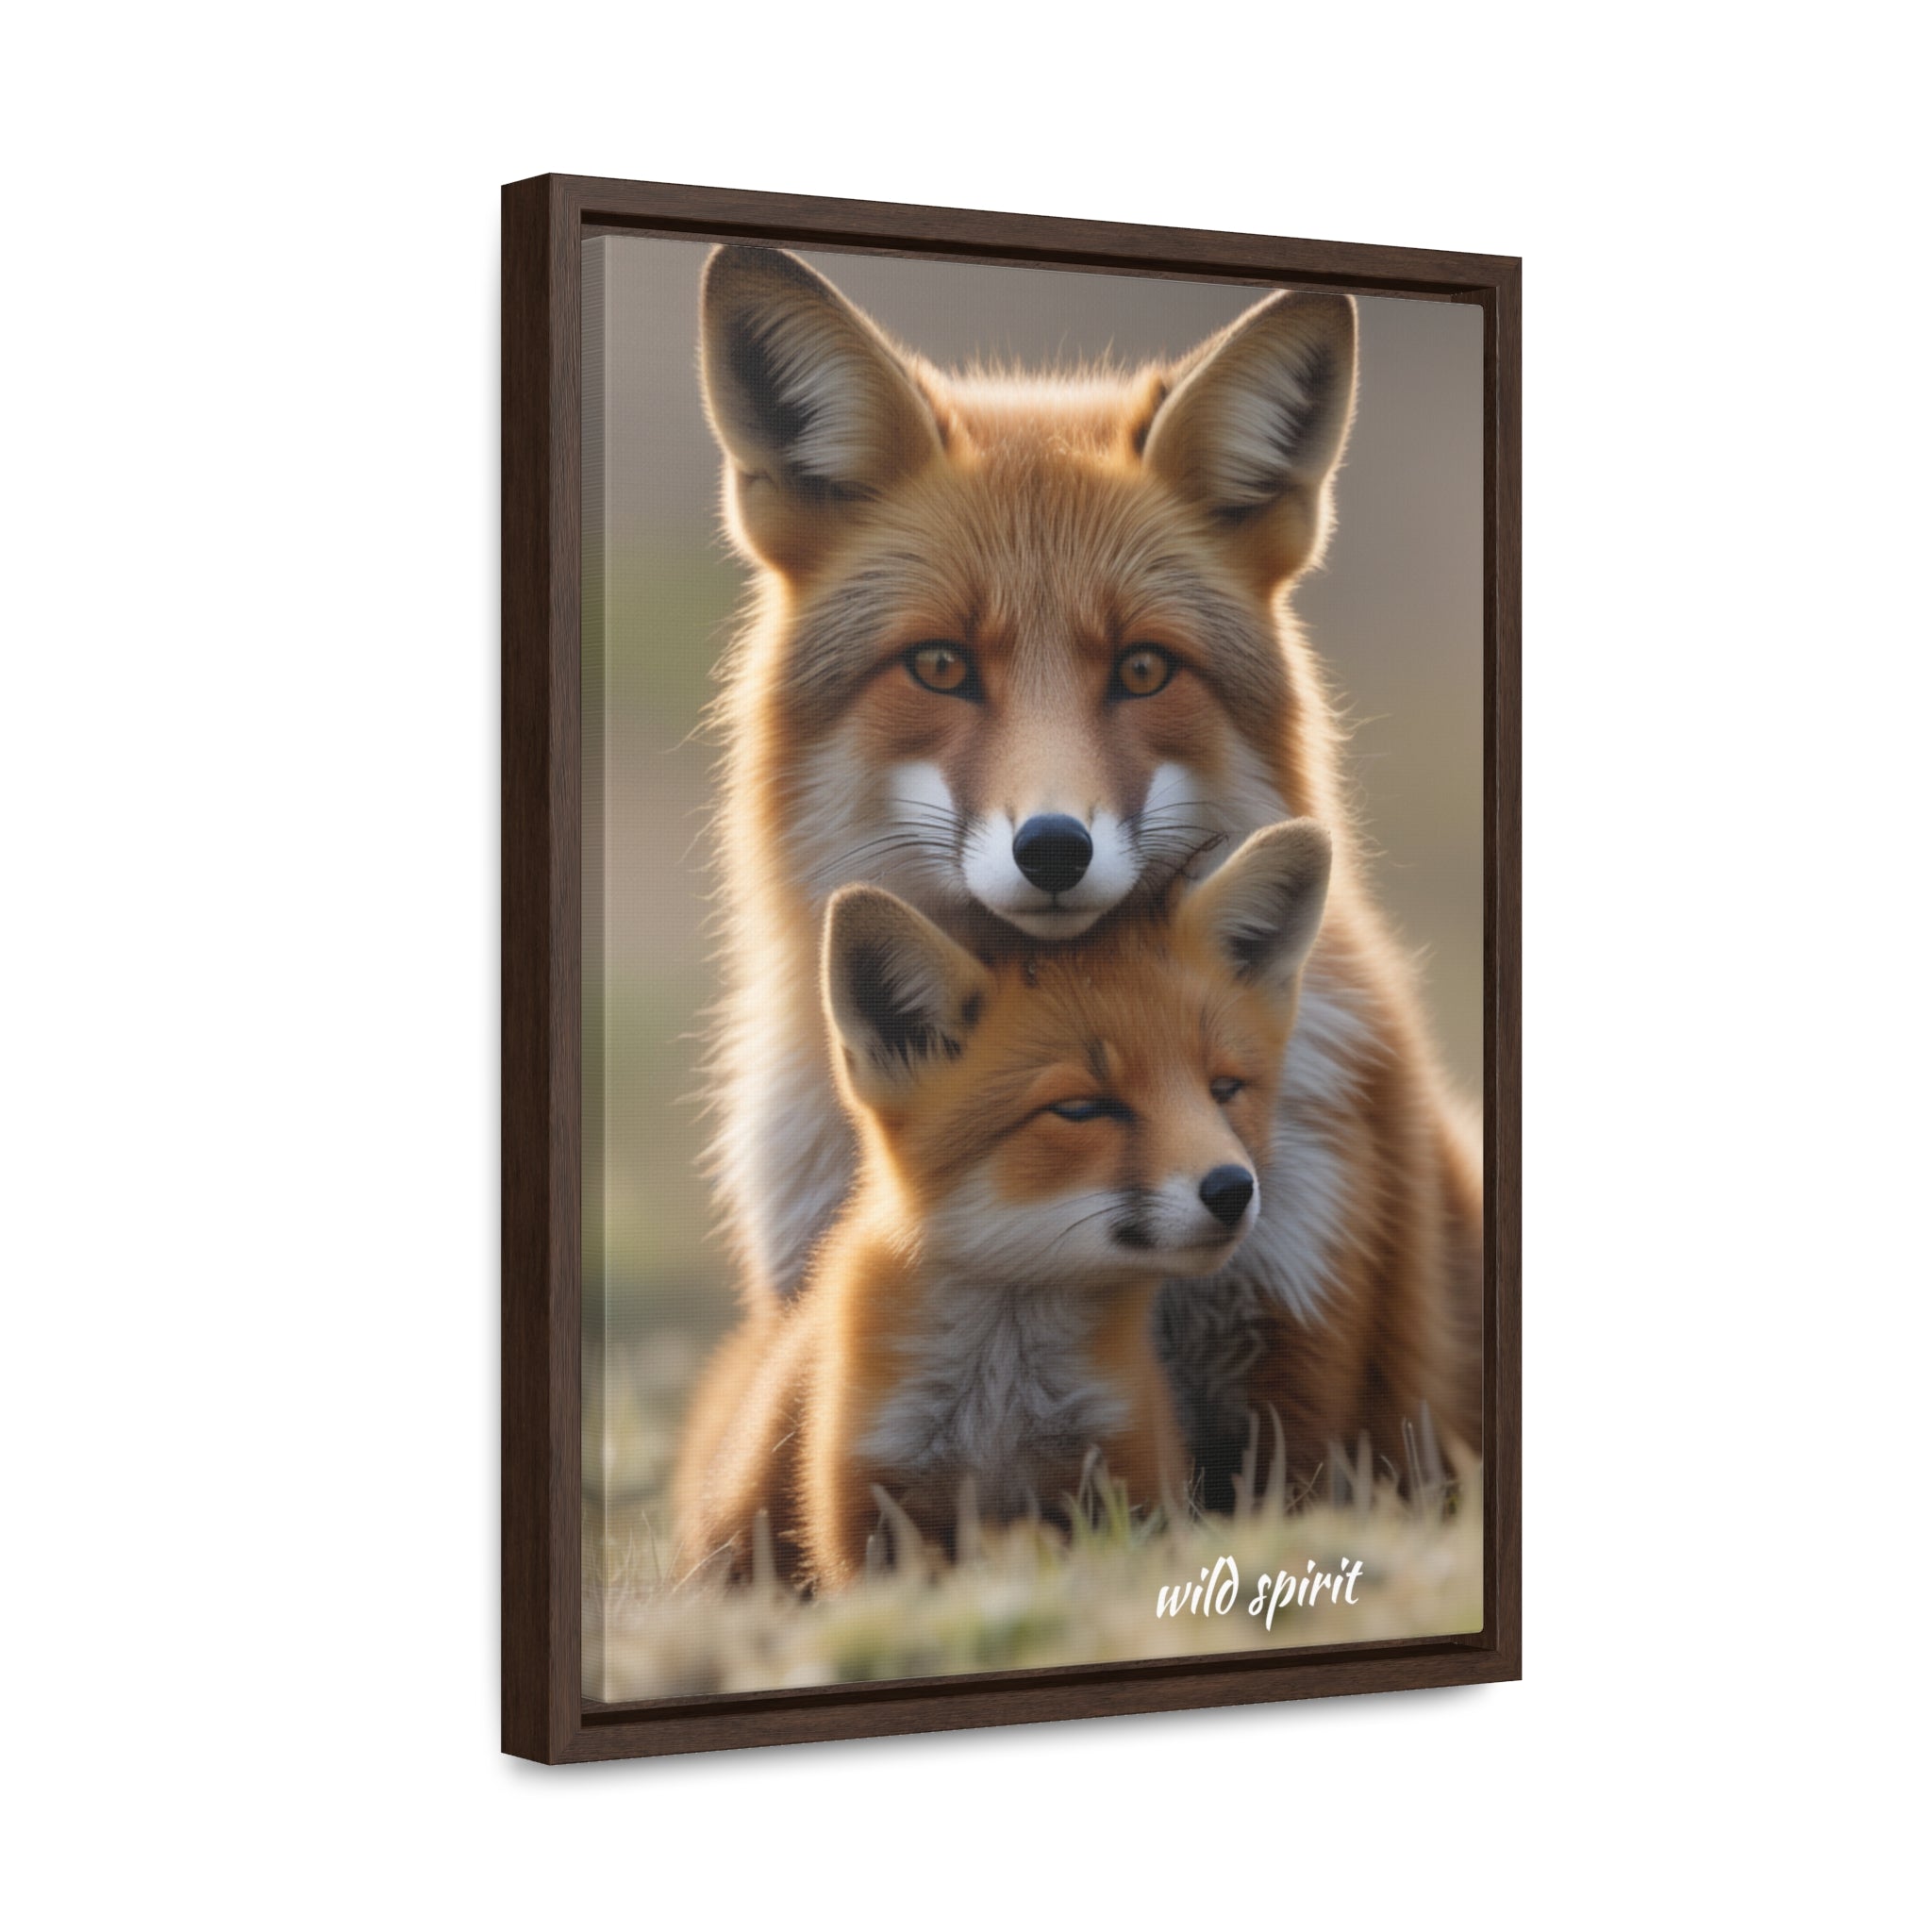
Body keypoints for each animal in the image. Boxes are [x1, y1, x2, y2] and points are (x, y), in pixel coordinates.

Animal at [674, 821, 1333, 1588]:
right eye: (1081, 1108)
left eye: (1224, 1090)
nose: (1232, 1188)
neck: (1000, 1407)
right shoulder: (865, 1510)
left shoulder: (1127, 1475)